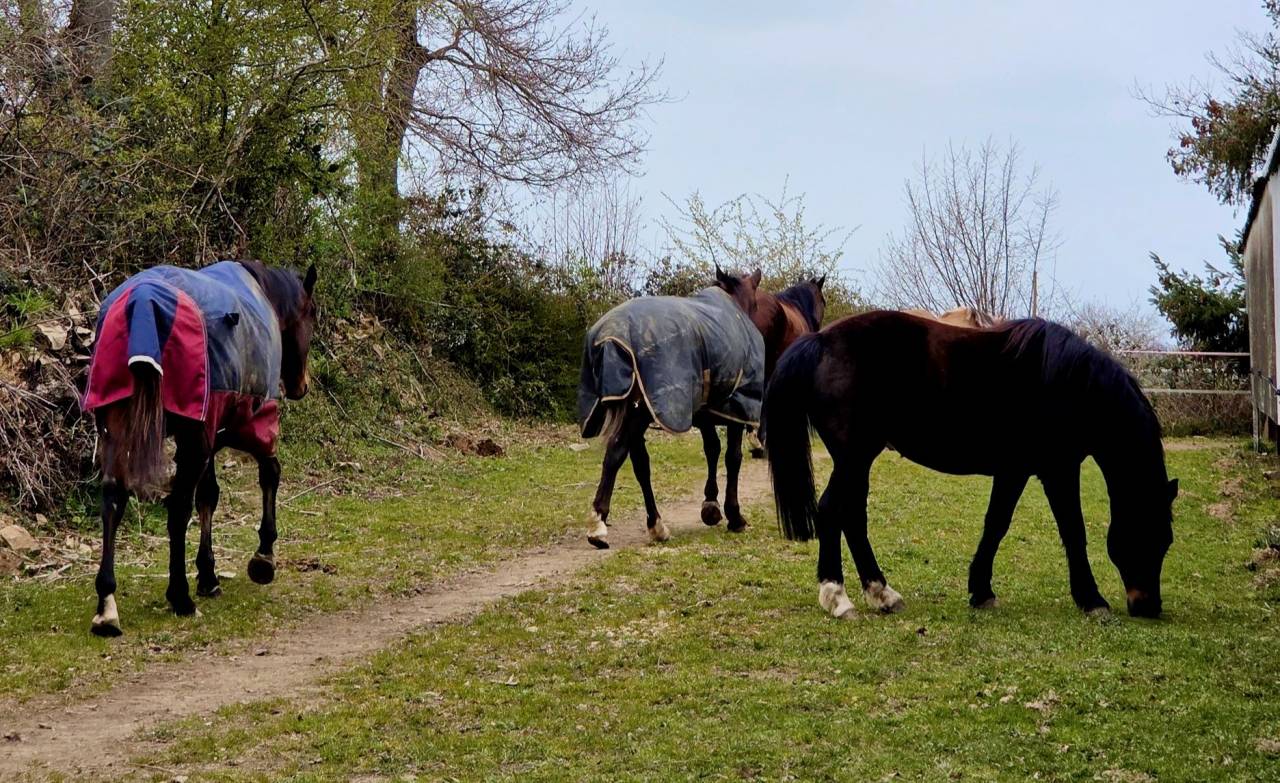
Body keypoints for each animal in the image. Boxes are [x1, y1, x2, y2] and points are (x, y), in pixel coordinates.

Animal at [81, 260, 317, 636]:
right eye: (312, 314)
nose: (301, 386)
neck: (262, 293)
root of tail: (142, 301)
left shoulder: (211, 431)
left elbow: (209, 495)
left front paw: (208, 574)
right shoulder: (252, 418)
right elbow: (269, 473)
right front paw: (264, 556)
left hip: (117, 428)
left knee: (113, 499)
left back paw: (106, 605)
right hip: (194, 440)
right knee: (178, 508)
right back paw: (180, 596)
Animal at [578, 267, 764, 548]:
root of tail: (610, 337)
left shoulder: (704, 411)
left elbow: (712, 449)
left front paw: (711, 506)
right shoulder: (735, 407)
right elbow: (733, 458)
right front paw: (734, 516)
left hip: (637, 409)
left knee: (640, 464)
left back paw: (656, 525)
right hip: (640, 412)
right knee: (616, 453)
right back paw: (599, 525)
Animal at [762, 310, 1177, 621]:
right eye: (1153, 535)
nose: (1148, 606)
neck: (1071, 384)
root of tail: (818, 342)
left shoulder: (1014, 470)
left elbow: (996, 525)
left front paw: (981, 591)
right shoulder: (1057, 470)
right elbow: (1073, 531)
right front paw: (1092, 600)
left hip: (858, 460)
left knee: (852, 517)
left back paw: (883, 594)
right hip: (854, 456)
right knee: (832, 510)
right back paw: (838, 597)